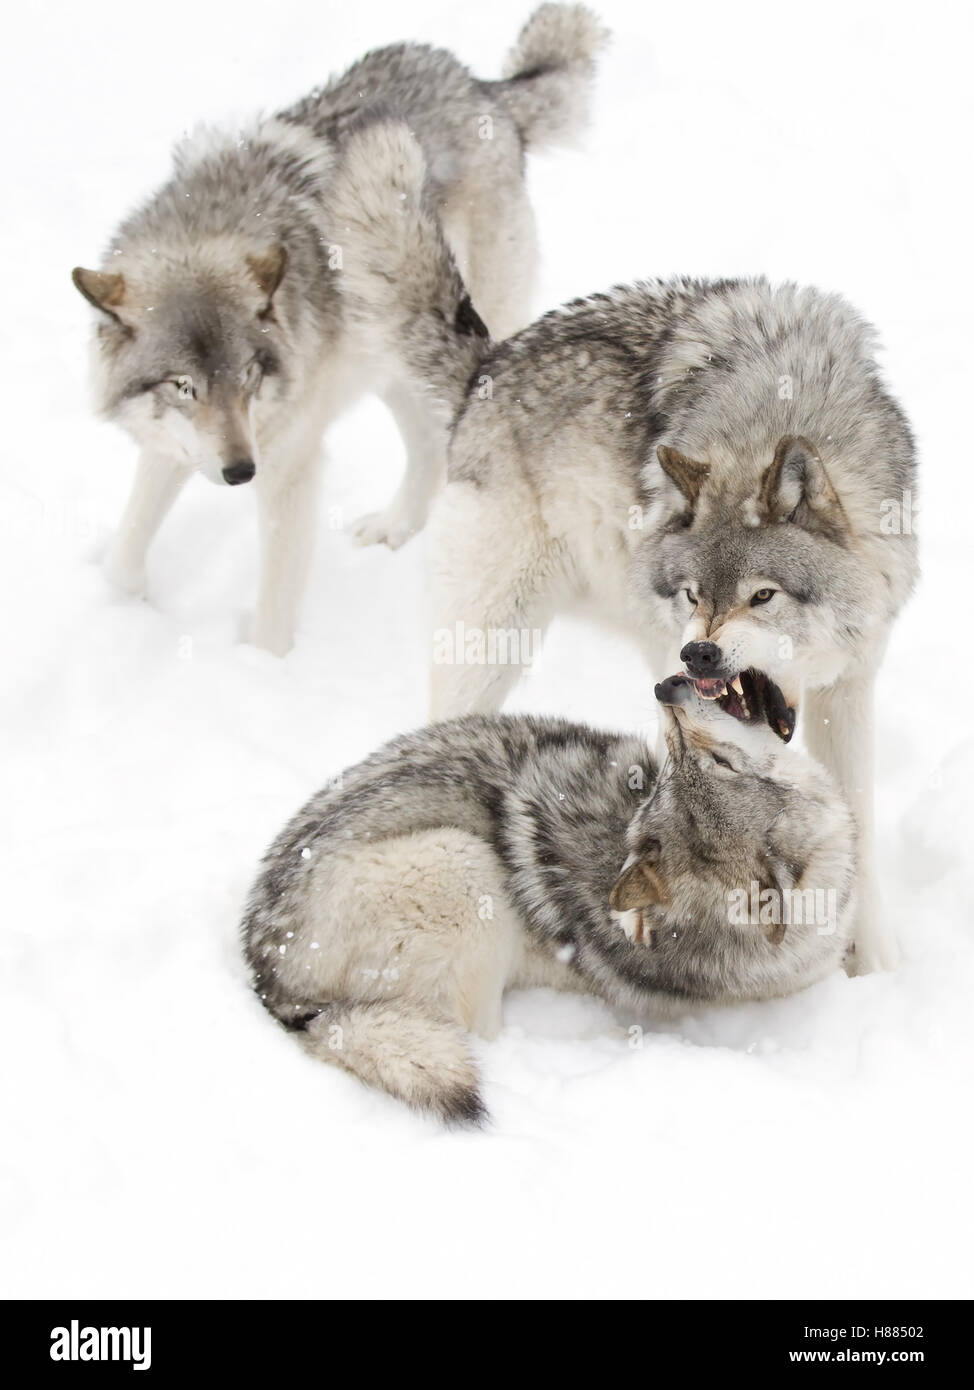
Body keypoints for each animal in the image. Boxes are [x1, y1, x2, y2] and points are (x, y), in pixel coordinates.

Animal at [72, 2, 603, 653]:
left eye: (248, 376)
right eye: (184, 386)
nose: (240, 472)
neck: (214, 228)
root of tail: (482, 87)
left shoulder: (289, 468)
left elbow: (274, 609)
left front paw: (261, 668)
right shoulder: (173, 443)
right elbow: (125, 553)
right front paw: (123, 603)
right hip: (394, 359)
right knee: (426, 446)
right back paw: (395, 530)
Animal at [241, 667, 850, 1123]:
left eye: (719, 763)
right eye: (669, 775)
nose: (667, 690)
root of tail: (271, 983)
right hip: (464, 865)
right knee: (479, 1036)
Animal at [419, 276, 917, 978]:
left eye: (762, 595)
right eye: (691, 595)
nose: (699, 653)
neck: (771, 414)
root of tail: (487, 367)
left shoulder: (849, 686)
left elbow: (860, 824)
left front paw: (874, 965)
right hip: (491, 641)